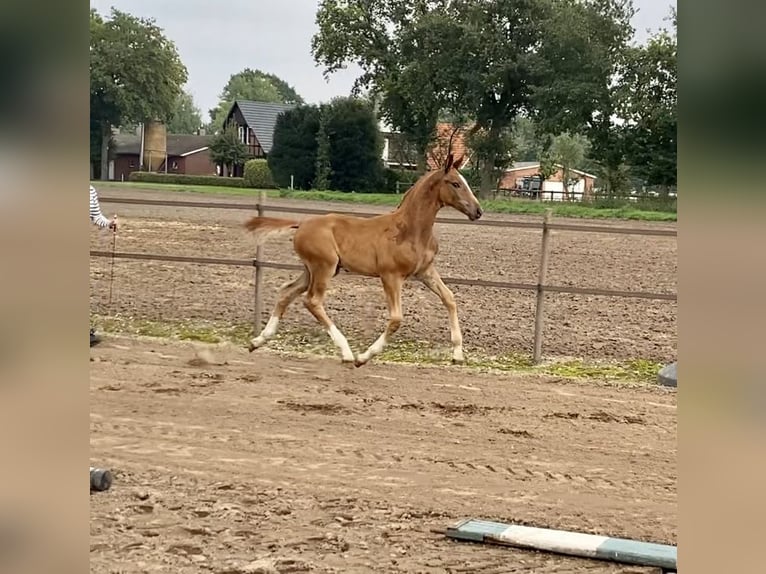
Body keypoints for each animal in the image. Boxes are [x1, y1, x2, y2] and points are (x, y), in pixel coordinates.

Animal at [246, 154, 484, 368]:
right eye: (455, 183)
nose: (478, 211)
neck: (409, 230)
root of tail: (301, 224)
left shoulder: (425, 271)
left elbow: (450, 298)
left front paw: (457, 354)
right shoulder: (390, 276)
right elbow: (396, 319)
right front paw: (364, 357)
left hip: (312, 269)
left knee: (287, 291)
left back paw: (258, 341)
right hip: (324, 267)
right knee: (312, 301)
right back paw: (347, 353)